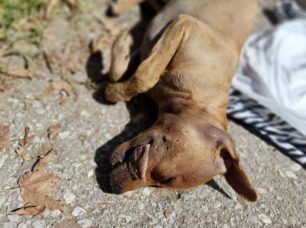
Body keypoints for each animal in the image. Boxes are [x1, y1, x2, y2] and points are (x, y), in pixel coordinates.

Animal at [103, 0, 258, 201]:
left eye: (163, 182)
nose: (115, 187)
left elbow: (135, 70)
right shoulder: (185, 24)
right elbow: (144, 76)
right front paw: (114, 87)